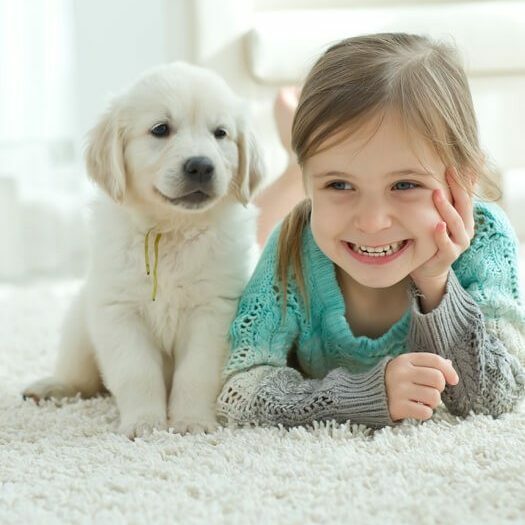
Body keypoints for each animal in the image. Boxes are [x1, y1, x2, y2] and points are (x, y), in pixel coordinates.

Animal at [22, 62, 264, 438]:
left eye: (220, 133)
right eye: (160, 129)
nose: (201, 165)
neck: (171, 229)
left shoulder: (213, 311)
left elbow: (196, 374)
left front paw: (191, 421)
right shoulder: (119, 311)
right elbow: (137, 373)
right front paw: (145, 423)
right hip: (78, 330)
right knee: (81, 380)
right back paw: (49, 387)